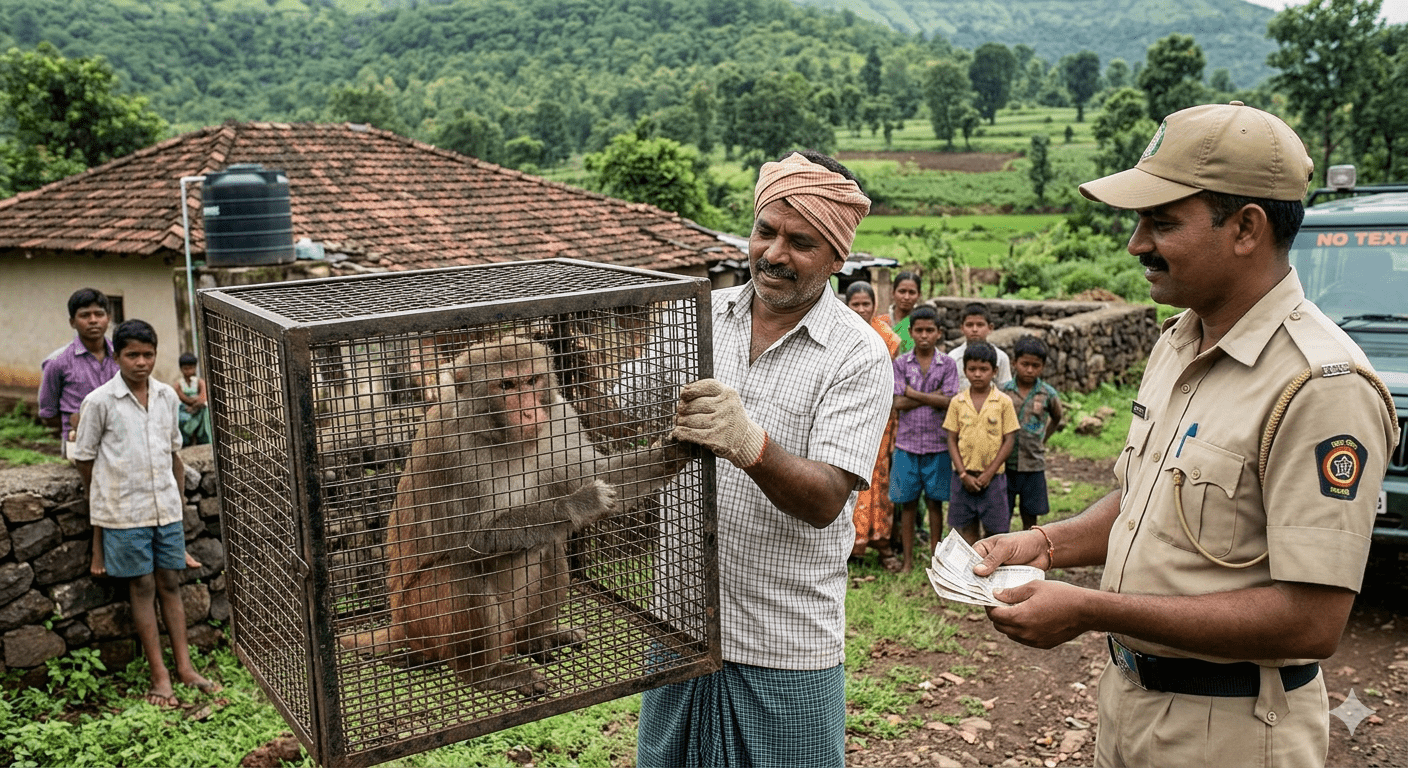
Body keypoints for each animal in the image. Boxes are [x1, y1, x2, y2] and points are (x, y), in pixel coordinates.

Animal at [347, 334, 688, 697]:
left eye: (531, 380)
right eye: (507, 385)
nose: (528, 411)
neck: (504, 437)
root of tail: (398, 624)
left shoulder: (560, 419)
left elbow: (600, 473)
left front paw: (673, 451)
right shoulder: (452, 448)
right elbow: (469, 540)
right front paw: (577, 504)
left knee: (548, 549)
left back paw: (534, 638)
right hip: (420, 618)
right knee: (460, 572)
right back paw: (486, 673)